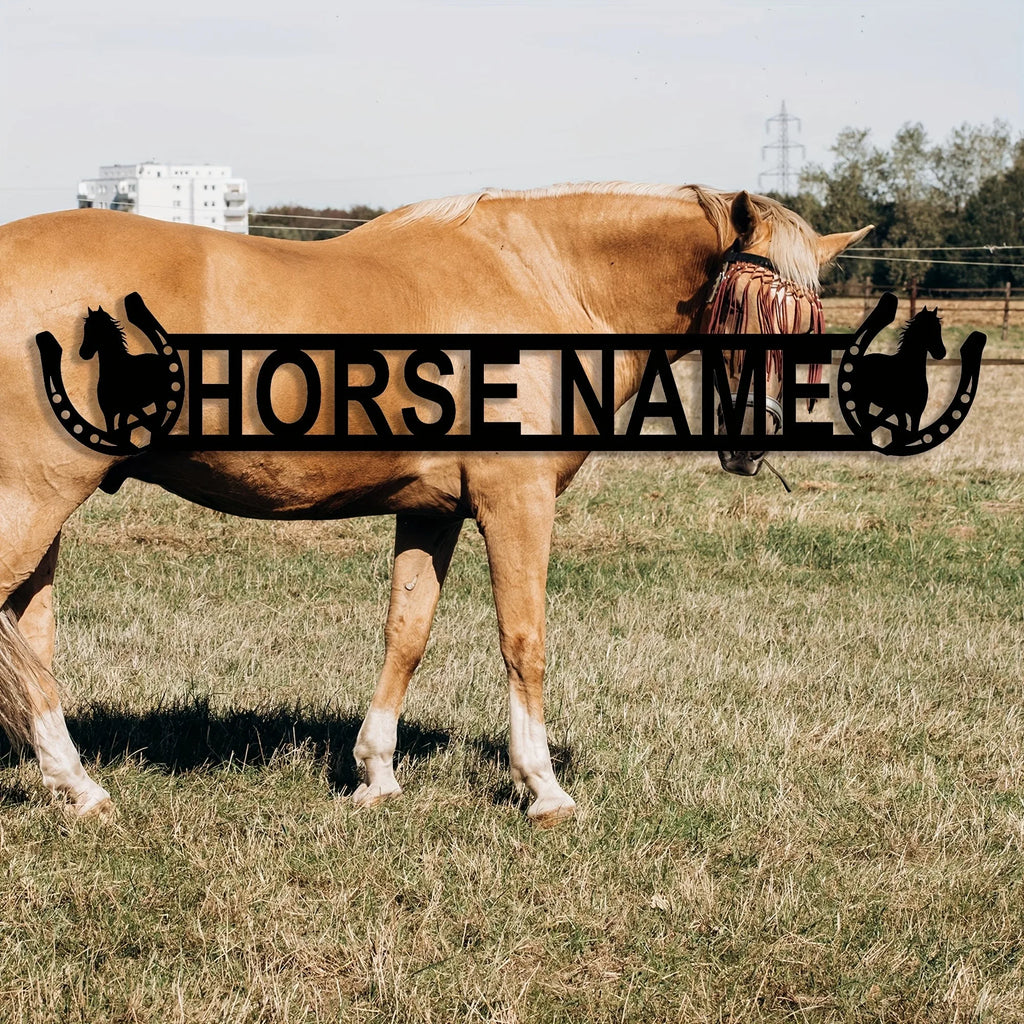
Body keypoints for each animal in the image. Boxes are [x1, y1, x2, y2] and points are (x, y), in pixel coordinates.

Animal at [0, 182, 872, 826]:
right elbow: (524, 640)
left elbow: (406, 632)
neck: (541, 278)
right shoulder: (516, 503)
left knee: (32, 641)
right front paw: (543, 789)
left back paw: (77, 788)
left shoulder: (432, 510)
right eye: (742, 311)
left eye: (810, 328)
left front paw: (376, 776)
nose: (757, 438)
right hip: (34, 500)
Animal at [852, 306, 946, 442]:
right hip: (863, 401)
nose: (941, 353)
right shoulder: (898, 410)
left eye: (938, 328)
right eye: (928, 328)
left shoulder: (916, 413)